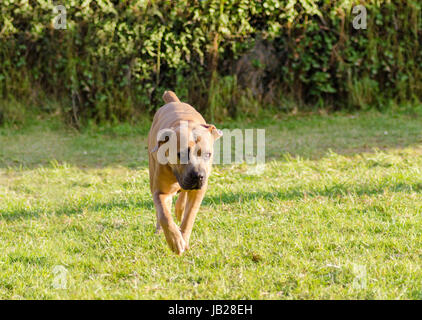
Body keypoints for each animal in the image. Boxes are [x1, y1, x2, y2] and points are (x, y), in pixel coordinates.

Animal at [148, 90, 223, 255]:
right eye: (181, 154)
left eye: (208, 154)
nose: (199, 176)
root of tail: (174, 102)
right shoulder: (160, 191)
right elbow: (164, 215)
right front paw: (175, 240)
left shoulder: (198, 191)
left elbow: (189, 216)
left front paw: (183, 238)